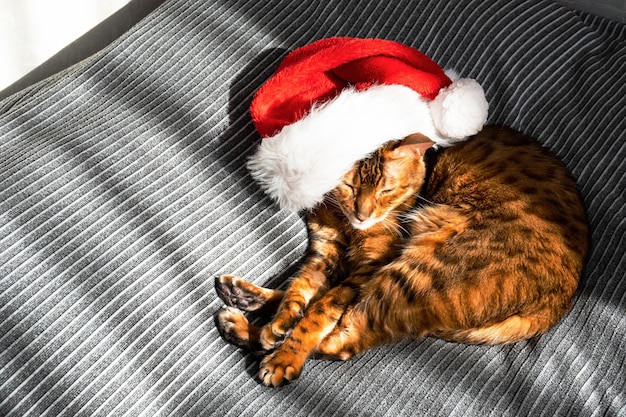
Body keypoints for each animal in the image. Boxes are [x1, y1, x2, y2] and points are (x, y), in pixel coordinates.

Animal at [213, 124, 584, 386]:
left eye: (386, 190)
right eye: (349, 187)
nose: (362, 215)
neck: (346, 226)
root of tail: (559, 301)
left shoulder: (368, 266)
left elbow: (319, 310)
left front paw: (285, 353)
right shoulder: (323, 254)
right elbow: (299, 291)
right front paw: (278, 322)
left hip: (414, 268)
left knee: (344, 340)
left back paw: (259, 338)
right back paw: (244, 303)